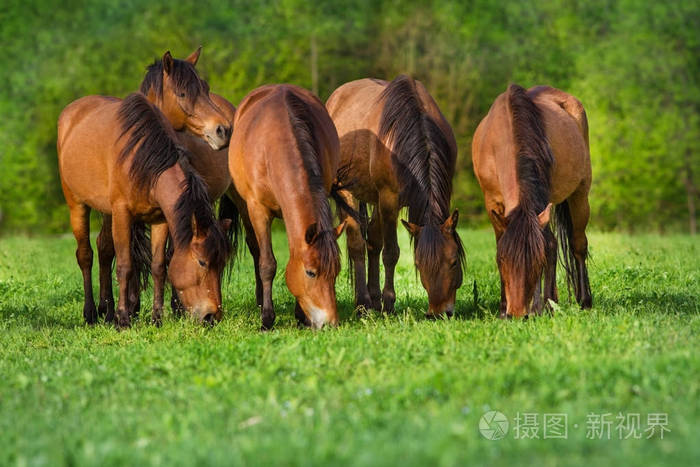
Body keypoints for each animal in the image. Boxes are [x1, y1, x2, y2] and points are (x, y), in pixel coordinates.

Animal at [57, 50, 231, 330]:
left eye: (206, 88)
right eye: (202, 262)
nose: (211, 316)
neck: (144, 158)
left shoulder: (160, 219)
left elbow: (159, 265)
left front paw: (156, 317)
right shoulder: (122, 214)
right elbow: (126, 264)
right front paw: (124, 318)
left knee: (103, 249)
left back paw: (105, 309)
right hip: (77, 205)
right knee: (85, 254)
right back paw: (92, 313)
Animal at [228, 85, 346, 332]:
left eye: (336, 272)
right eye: (311, 273)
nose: (331, 323)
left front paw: (301, 316)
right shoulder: (258, 211)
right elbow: (267, 264)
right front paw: (267, 319)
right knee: (256, 250)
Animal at [326, 76, 464, 318]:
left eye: (454, 261)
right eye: (419, 263)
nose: (439, 313)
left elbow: (379, 244)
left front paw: (382, 301)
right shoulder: (389, 200)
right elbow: (391, 252)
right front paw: (389, 303)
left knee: (372, 241)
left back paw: (373, 299)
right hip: (347, 193)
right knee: (357, 245)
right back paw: (362, 304)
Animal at [474, 83, 592, 318]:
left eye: (537, 264)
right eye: (503, 261)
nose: (517, 313)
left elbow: (548, 246)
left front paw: (539, 306)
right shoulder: (493, 205)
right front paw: (503, 309)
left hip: (580, 194)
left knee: (577, 245)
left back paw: (582, 301)